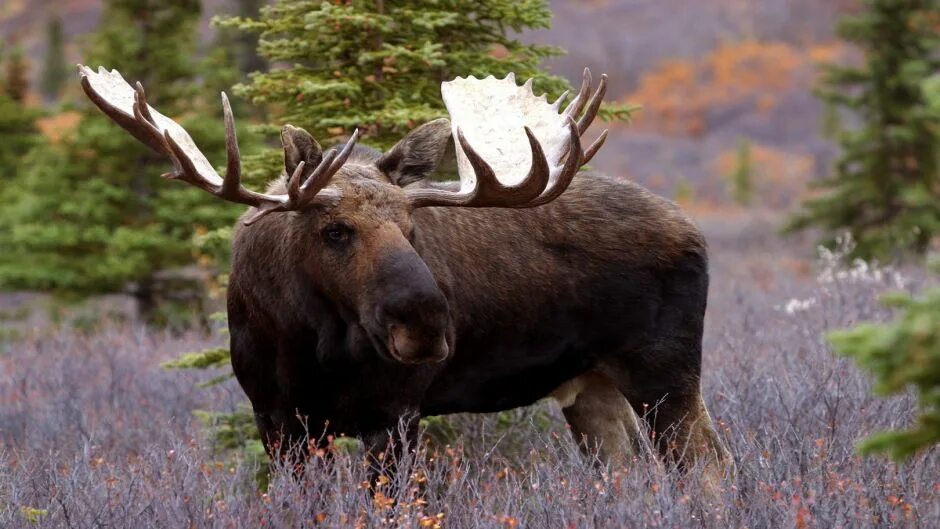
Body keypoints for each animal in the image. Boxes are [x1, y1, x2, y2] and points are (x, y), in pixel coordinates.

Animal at [77, 64, 732, 476]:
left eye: (411, 226)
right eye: (334, 230)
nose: (426, 327)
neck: (307, 343)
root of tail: (695, 230)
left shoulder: (394, 416)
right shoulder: (279, 420)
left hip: (665, 374)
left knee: (709, 469)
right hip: (592, 387)